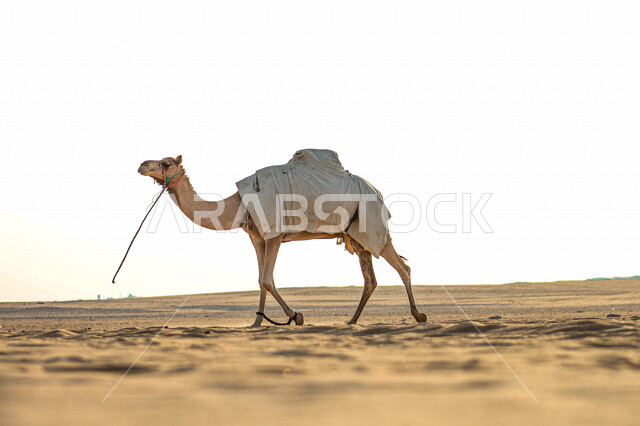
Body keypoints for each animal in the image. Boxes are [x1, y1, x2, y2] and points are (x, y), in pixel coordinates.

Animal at [137, 154, 427, 327]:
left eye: (165, 163)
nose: (142, 164)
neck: (237, 204)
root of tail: (377, 191)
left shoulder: (274, 233)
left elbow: (267, 279)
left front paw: (296, 316)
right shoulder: (257, 237)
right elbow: (260, 280)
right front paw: (257, 323)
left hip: (373, 225)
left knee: (403, 267)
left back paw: (418, 314)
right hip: (354, 235)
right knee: (370, 279)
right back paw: (351, 321)